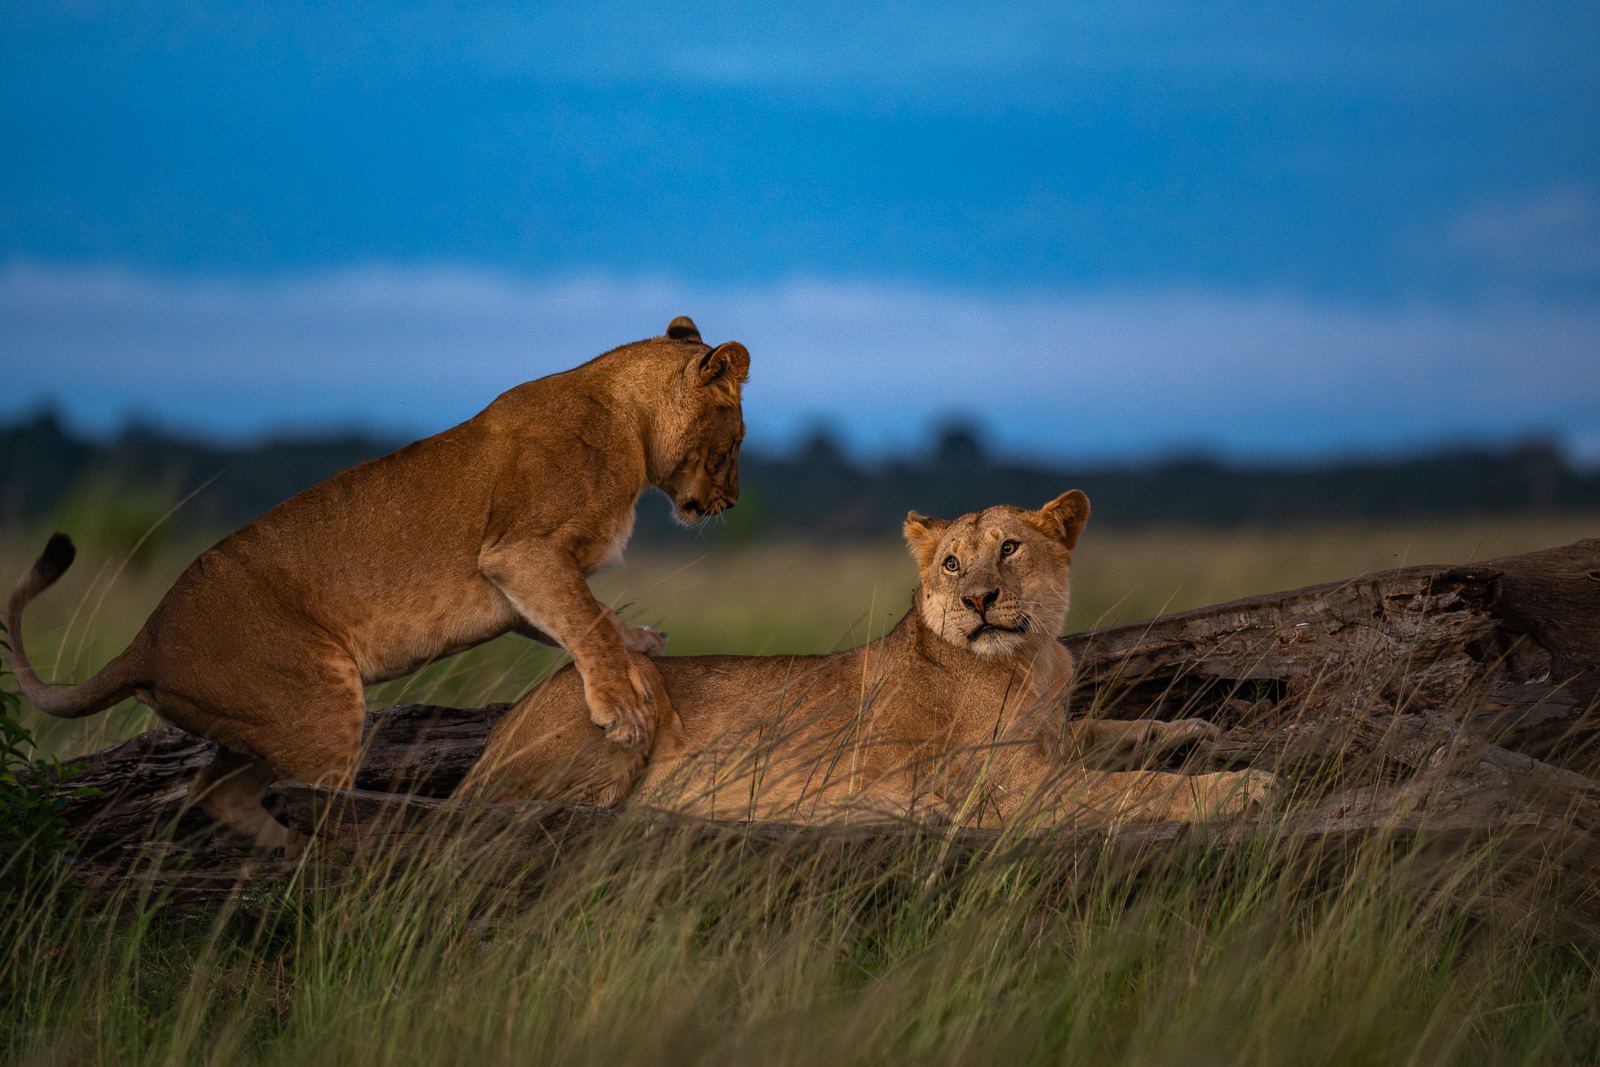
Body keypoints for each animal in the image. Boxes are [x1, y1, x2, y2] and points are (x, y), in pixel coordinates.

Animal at [6, 316, 748, 852]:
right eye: (738, 440)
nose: (732, 503)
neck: (631, 424)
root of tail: (145, 642)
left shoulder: (519, 586)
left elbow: (585, 617)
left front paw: (639, 641)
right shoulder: (521, 552)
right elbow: (586, 618)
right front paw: (622, 707)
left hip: (252, 722)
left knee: (215, 792)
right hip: (316, 707)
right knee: (301, 805)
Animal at [458, 492, 1276, 827]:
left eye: (1011, 548)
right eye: (951, 564)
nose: (979, 598)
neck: (1033, 656)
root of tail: (492, 741)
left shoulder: (1051, 738)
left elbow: (1113, 732)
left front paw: (1195, 729)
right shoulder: (1007, 787)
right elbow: (1128, 790)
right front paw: (1241, 787)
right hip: (623, 712)